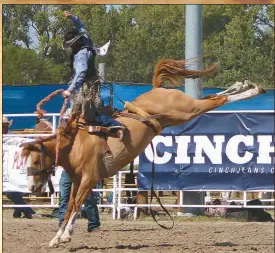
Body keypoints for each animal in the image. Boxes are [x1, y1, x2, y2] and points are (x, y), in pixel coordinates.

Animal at [20, 58, 268, 247]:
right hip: (180, 114)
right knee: (212, 98)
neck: (75, 144)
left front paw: (64, 236)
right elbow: (71, 205)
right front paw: (56, 237)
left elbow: (77, 205)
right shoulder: (77, 181)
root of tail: (157, 88)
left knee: (217, 100)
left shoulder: (89, 179)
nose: (32, 188)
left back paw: (252, 89)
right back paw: (242, 85)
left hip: (186, 110)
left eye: (36, 159)